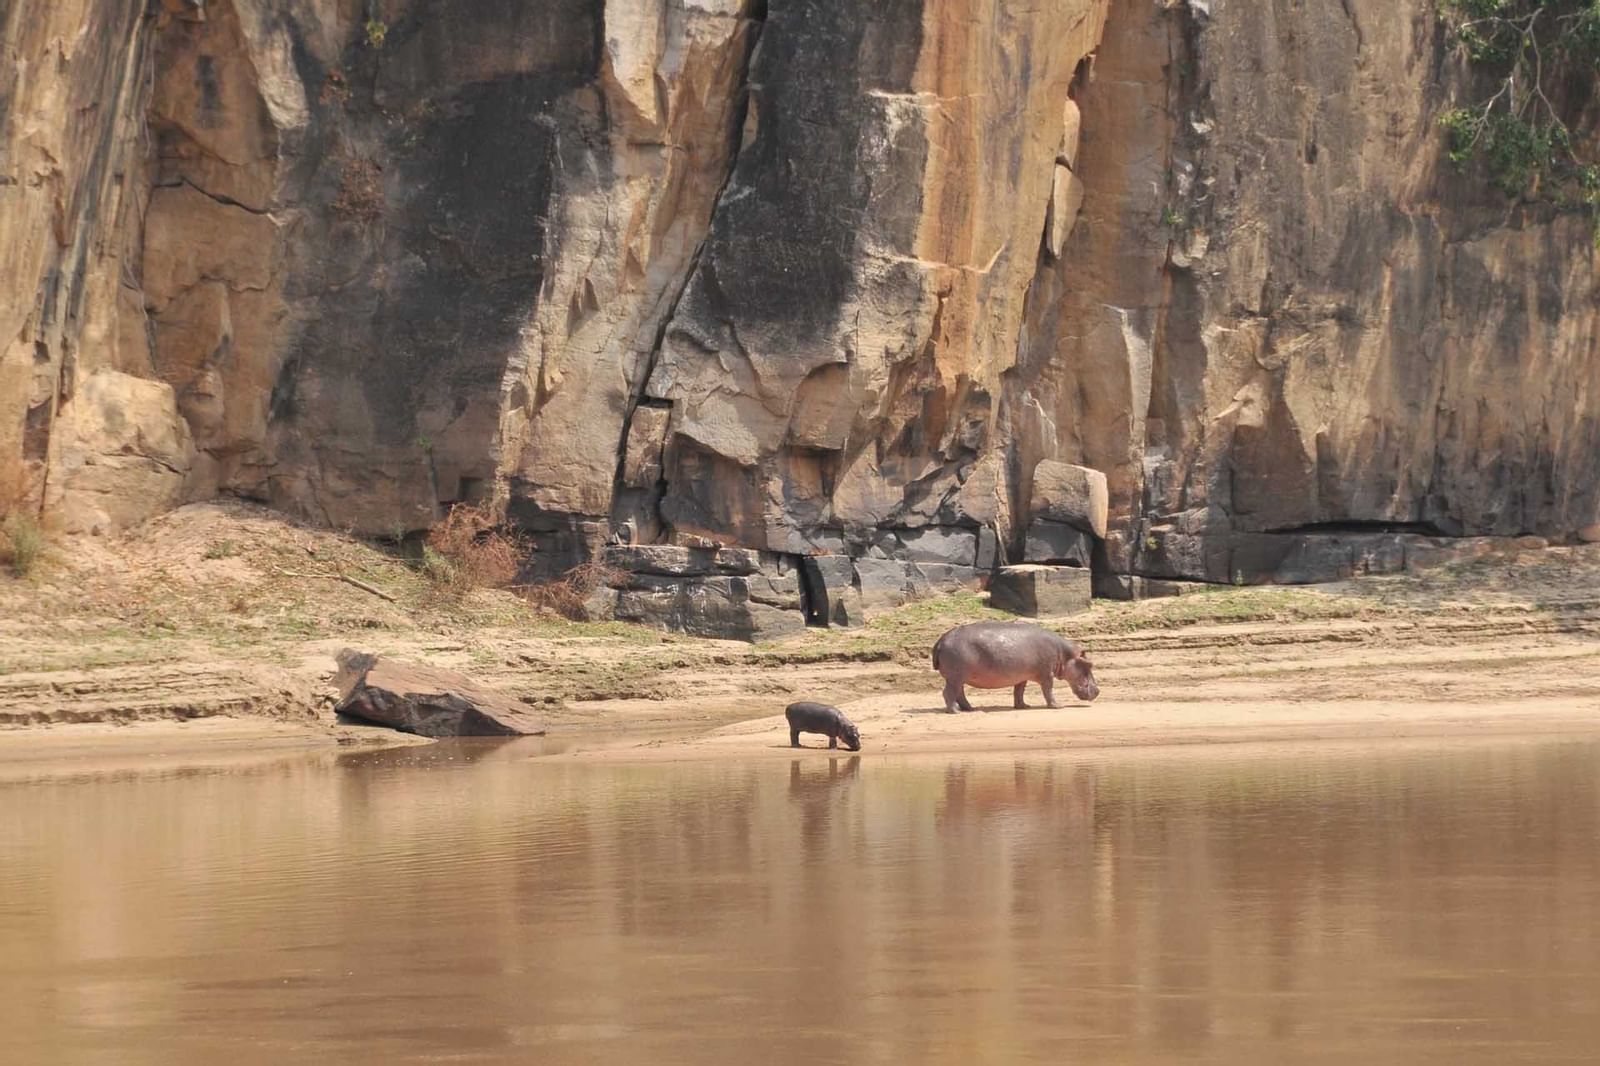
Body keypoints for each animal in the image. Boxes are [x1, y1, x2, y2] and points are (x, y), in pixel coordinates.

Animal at [931, 622, 1099, 713]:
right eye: (1089, 664)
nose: (1098, 691)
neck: (1065, 655)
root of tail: (941, 640)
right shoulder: (1047, 674)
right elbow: (1048, 690)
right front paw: (1058, 706)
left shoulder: (1022, 677)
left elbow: (1019, 691)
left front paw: (1024, 706)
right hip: (956, 677)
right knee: (948, 693)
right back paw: (956, 711)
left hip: (959, 677)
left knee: (960, 694)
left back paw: (971, 709)